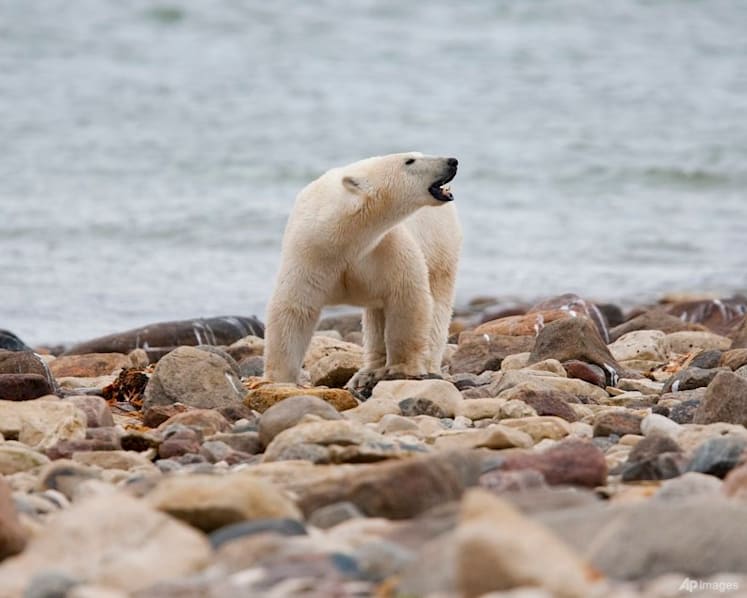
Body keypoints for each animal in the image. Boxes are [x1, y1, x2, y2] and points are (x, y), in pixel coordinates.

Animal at [263, 152, 461, 388]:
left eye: (419, 155)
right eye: (410, 160)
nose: (452, 161)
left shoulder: (385, 248)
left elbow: (407, 298)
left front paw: (403, 368)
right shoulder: (310, 253)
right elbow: (295, 308)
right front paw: (279, 379)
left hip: (441, 247)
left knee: (438, 305)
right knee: (376, 316)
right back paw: (369, 372)